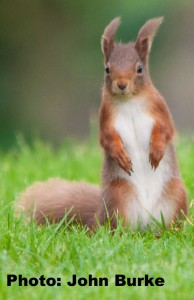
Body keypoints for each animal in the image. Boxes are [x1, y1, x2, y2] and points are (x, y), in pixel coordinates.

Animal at [17, 17, 188, 230]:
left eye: (139, 69)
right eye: (107, 68)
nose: (121, 84)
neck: (129, 101)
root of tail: (146, 223)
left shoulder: (159, 109)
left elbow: (166, 130)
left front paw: (156, 152)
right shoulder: (106, 117)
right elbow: (107, 139)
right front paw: (120, 156)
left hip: (176, 192)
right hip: (118, 195)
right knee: (118, 228)